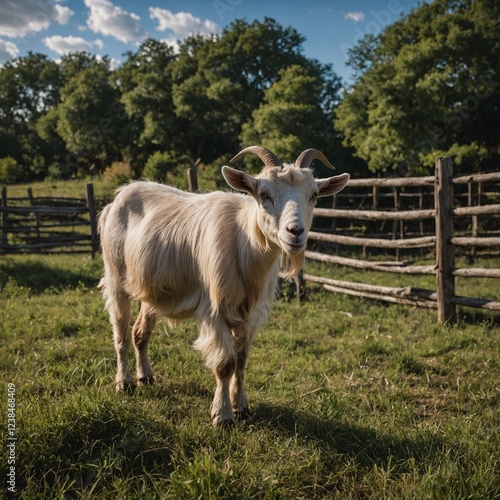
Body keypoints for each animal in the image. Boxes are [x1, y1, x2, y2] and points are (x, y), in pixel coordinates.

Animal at [96, 146, 348, 426]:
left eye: (313, 195)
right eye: (264, 194)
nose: (295, 232)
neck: (245, 242)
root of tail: (115, 201)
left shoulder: (251, 313)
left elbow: (241, 360)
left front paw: (242, 406)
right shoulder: (214, 308)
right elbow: (225, 364)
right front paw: (223, 415)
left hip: (150, 288)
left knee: (140, 333)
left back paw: (145, 377)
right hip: (116, 277)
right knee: (120, 333)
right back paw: (124, 382)